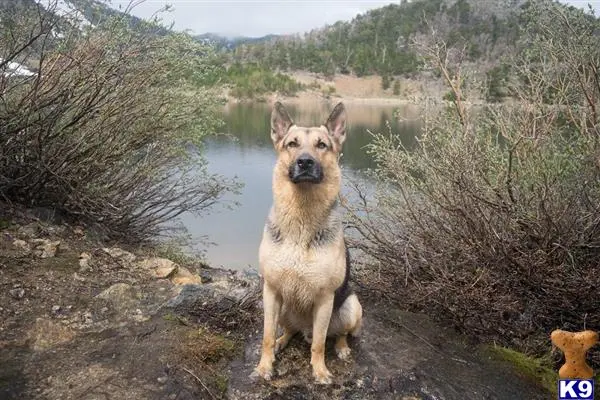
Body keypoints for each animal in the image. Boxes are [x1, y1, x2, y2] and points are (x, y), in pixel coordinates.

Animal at [253, 101, 360, 382]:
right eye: (292, 143)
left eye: (321, 145)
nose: (305, 162)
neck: (301, 220)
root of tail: (304, 329)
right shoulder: (271, 291)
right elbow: (266, 336)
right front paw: (264, 366)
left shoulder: (324, 299)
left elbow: (320, 343)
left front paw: (320, 371)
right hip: (283, 310)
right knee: (288, 331)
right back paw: (283, 341)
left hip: (351, 306)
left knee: (337, 334)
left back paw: (342, 348)